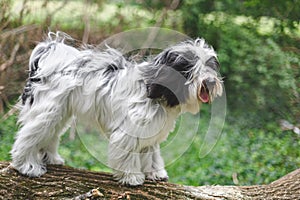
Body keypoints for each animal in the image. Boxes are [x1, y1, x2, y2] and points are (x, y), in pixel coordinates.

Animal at [10, 31, 221, 186]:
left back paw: (51, 158)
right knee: (28, 136)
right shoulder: (128, 132)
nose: (210, 82)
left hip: (58, 113)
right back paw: (27, 165)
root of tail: (50, 57)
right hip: (47, 111)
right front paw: (132, 177)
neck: (154, 89)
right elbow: (128, 156)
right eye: (189, 68)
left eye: (210, 65)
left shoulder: (150, 132)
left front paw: (155, 172)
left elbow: (152, 154)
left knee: (50, 134)